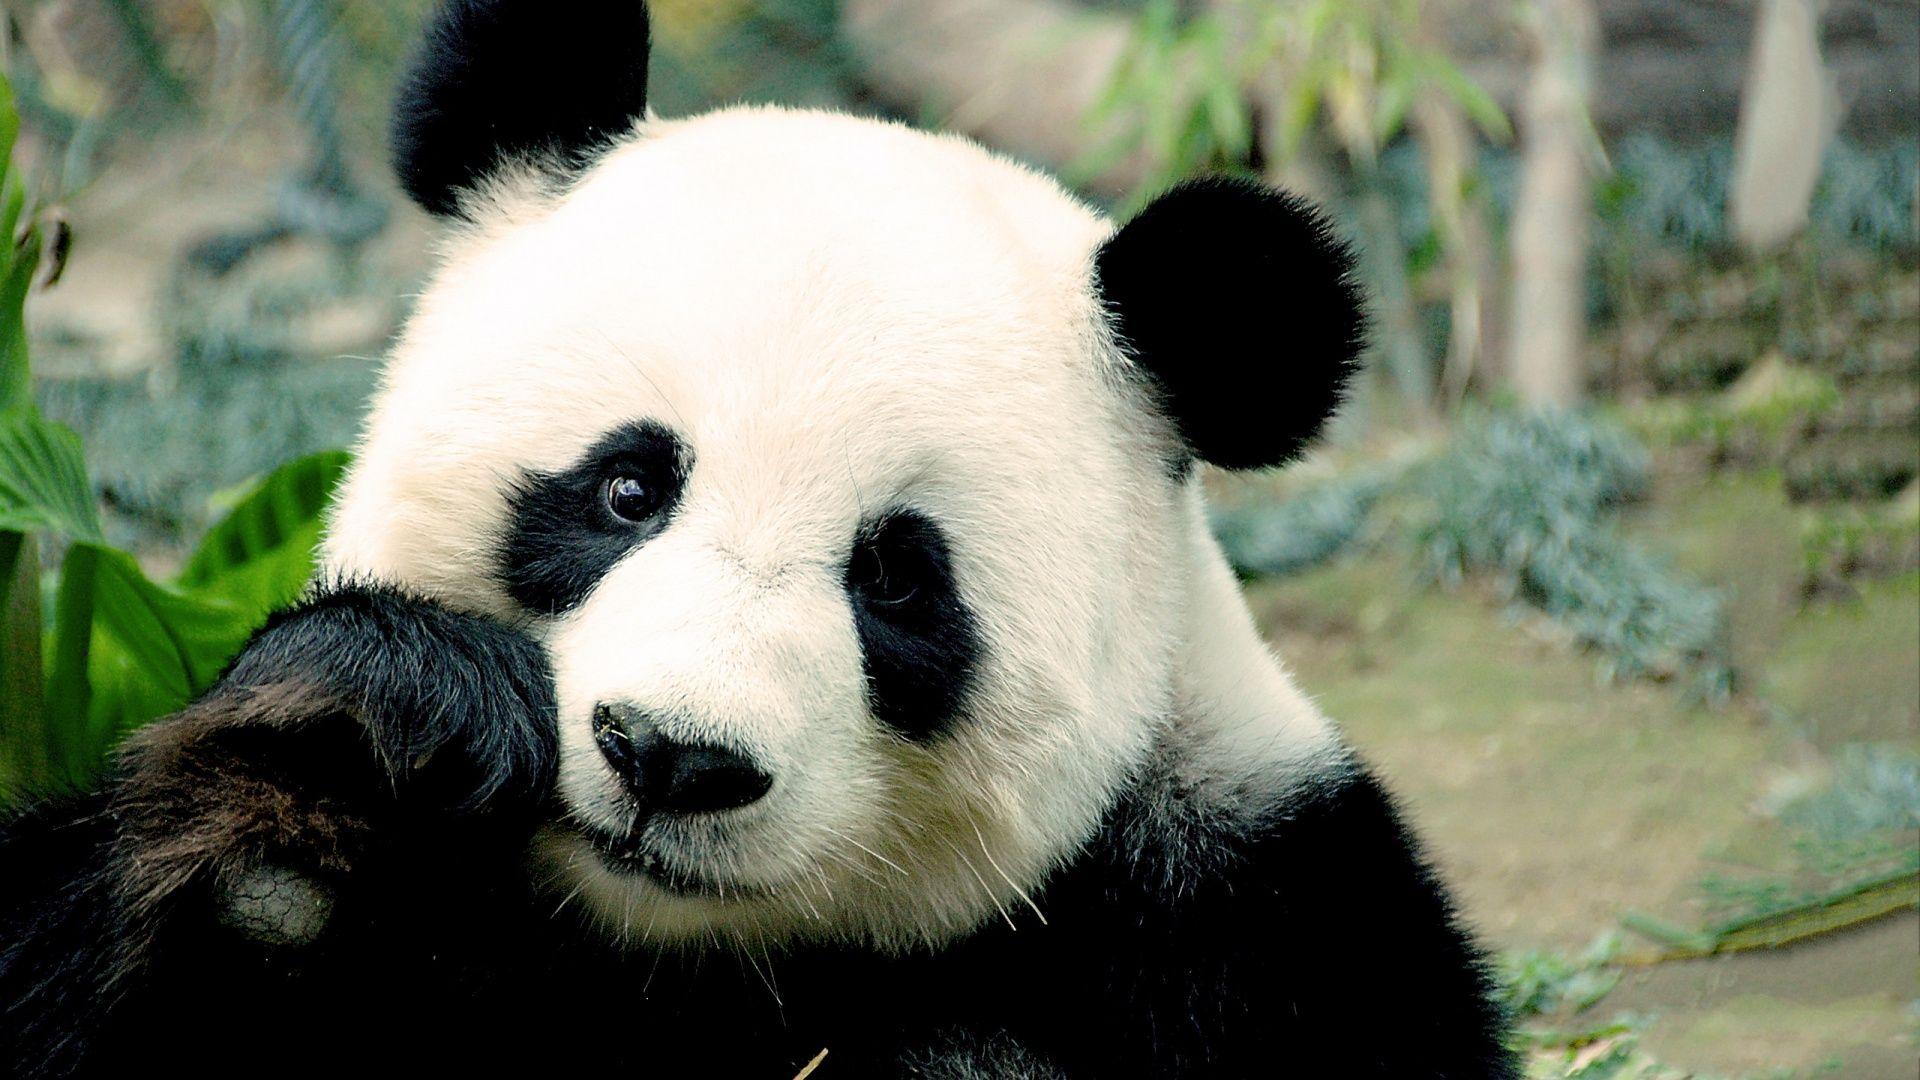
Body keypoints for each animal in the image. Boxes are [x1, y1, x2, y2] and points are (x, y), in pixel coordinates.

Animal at [0, 2, 1516, 1077]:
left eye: (896, 579)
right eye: (627, 490)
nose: (673, 757)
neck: (665, 954)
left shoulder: (1253, 927)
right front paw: (346, 763)